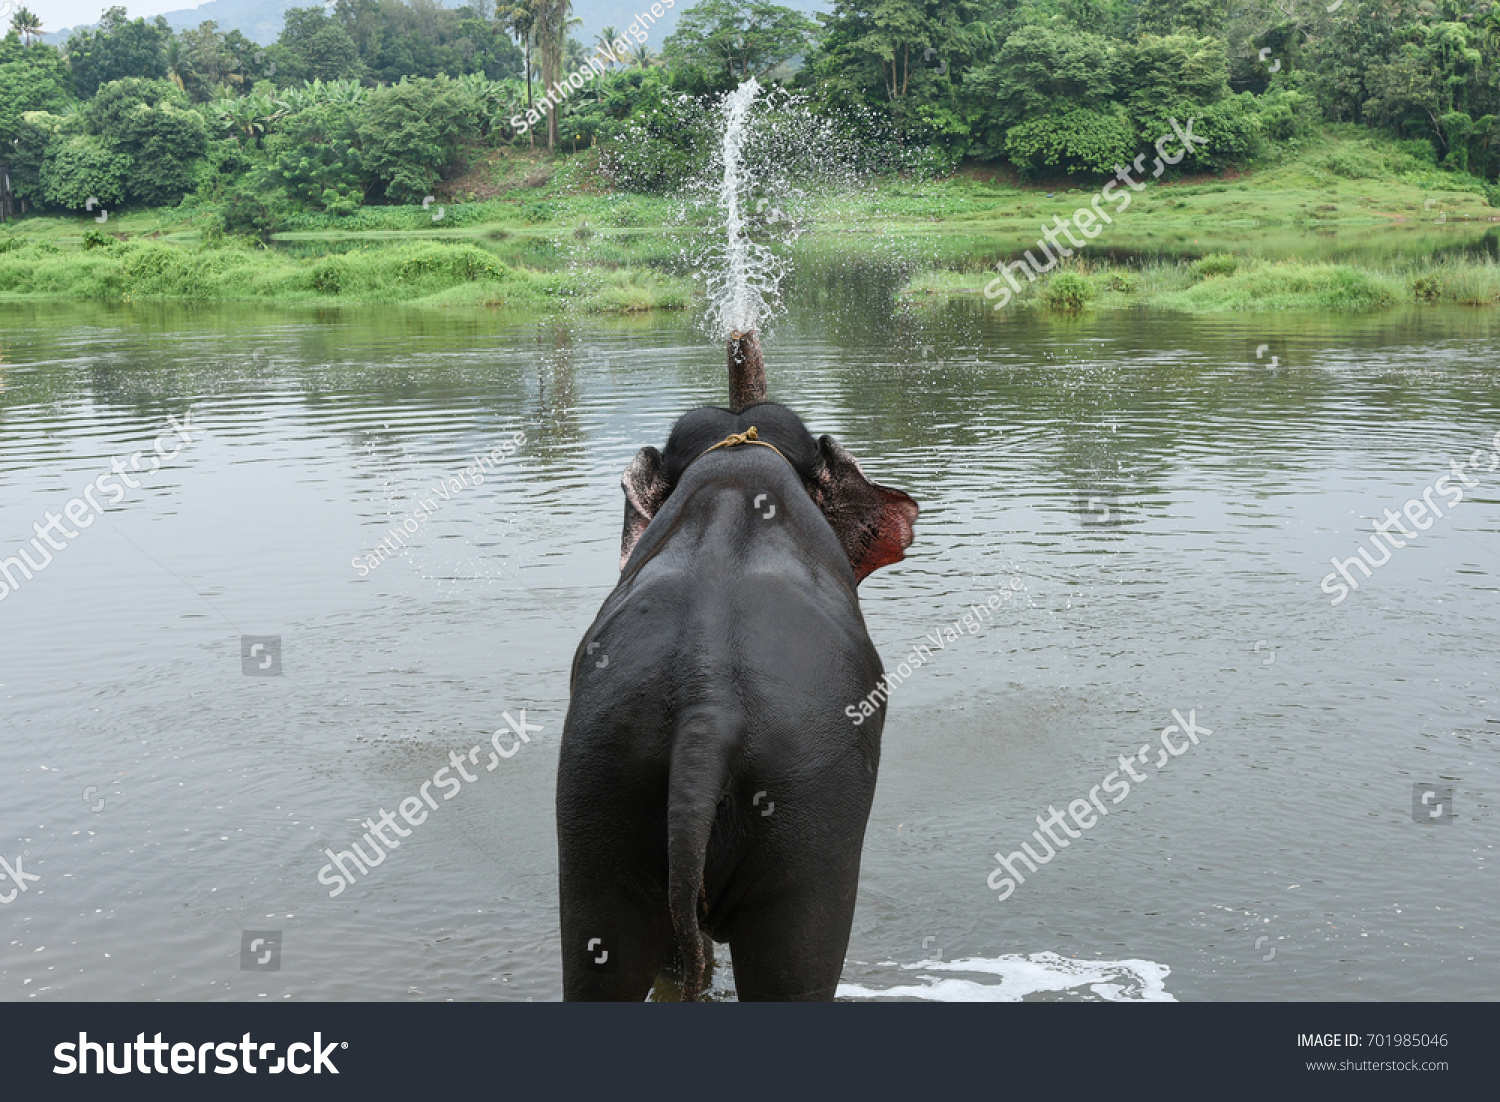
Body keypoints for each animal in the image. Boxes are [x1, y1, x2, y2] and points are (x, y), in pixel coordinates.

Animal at [561, 334, 918, 1001]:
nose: (739, 344)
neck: (737, 465)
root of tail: (708, 710)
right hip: (809, 807)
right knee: (797, 962)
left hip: (598, 786)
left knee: (602, 952)